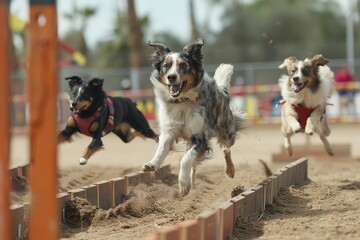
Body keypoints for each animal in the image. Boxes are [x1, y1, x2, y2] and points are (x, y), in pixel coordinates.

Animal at [142, 39, 246, 197]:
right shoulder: (169, 131)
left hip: (227, 131)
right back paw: (192, 180)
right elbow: (161, 148)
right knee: (196, 164)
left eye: (183, 65)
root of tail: (221, 90)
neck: (182, 101)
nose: (171, 77)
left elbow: (185, 160)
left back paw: (230, 170)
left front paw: (183, 185)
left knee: (226, 148)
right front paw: (152, 164)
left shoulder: (200, 138)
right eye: (166, 66)